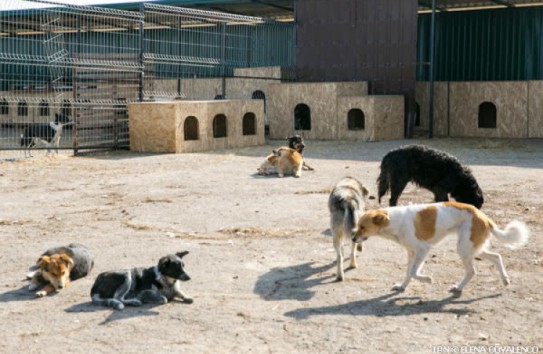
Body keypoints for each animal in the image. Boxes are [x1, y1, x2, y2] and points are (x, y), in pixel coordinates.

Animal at [352, 202, 532, 294]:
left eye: (362, 227)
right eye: (358, 226)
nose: (353, 239)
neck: (394, 220)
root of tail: (483, 216)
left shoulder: (423, 249)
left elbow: (413, 272)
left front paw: (427, 279)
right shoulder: (412, 253)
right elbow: (408, 273)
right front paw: (402, 287)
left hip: (464, 248)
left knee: (472, 271)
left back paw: (458, 288)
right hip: (473, 248)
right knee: (496, 257)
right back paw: (505, 279)